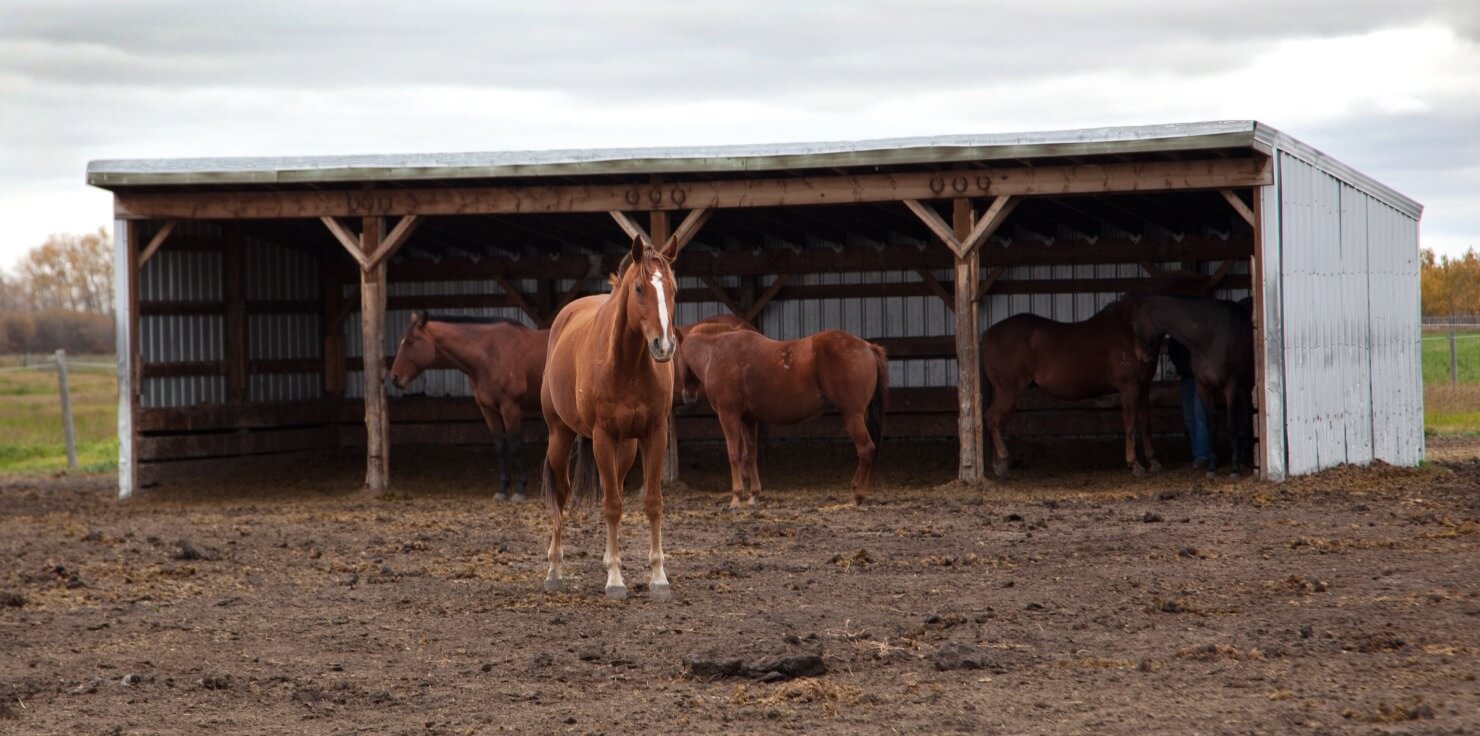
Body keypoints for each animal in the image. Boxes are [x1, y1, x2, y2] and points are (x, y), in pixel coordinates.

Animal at [388, 313, 548, 501]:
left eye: (410, 342)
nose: (394, 378)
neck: (491, 354)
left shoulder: (510, 407)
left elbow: (515, 444)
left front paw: (521, 489)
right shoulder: (488, 409)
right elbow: (500, 445)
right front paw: (502, 489)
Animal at [540, 234, 681, 601]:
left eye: (673, 288)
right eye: (639, 288)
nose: (663, 346)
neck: (628, 364)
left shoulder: (654, 434)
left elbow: (651, 502)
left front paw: (658, 578)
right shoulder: (602, 436)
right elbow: (612, 506)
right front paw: (615, 580)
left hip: (626, 447)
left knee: (612, 484)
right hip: (560, 435)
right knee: (562, 493)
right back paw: (554, 571)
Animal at [675, 328, 888, 507]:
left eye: (675, 355)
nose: (688, 396)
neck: (715, 353)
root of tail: (868, 347)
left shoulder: (729, 416)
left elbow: (734, 455)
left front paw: (736, 497)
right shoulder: (748, 419)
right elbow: (750, 455)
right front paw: (754, 495)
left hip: (853, 416)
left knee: (866, 450)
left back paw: (857, 494)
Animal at [980, 271, 1212, 478]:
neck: (1130, 328)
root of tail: (989, 333)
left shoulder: (1144, 386)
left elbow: (1146, 423)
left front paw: (1154, 463)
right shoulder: (1128, 387)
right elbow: (1130, 424)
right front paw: (1135, 465)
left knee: (998, 422)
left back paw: (999, 466)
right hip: (1009, 391)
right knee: (992, 418)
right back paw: (1003, 460)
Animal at [1130, 294, 1255, 477]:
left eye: (1135, 324)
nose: (1140, 355)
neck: (1209, 335)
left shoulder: (1230, 385)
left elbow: (1231, 426)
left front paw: (1234, 468)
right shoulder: (1204, 387)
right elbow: (1211, 427)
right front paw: (1212, 467)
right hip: (1244, 386)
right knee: (1246, 416)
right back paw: (1246, 457)